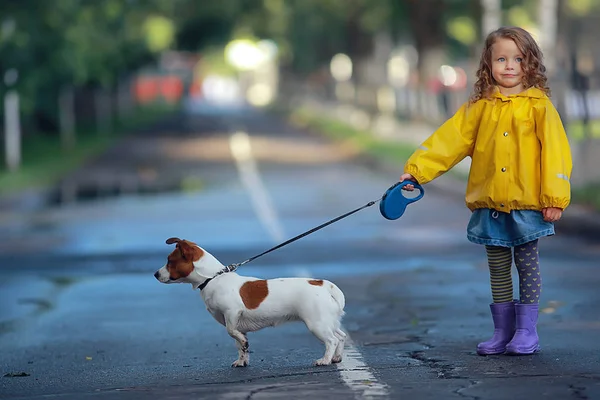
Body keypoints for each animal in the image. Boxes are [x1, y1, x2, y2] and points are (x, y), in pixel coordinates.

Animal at [154, 239, 346, 368]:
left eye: (170, 261)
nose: (155, 274)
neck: (212, 278)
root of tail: (323, 284)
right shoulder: (236, 322)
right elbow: (240, 345)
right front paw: (242, 360)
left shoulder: (232, 313)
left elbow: (233, 332)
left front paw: (244, 345)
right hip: (327, 322)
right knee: (341, 336)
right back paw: (336, 357)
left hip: (316, 324)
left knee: (332, 340)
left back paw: (325, 360)